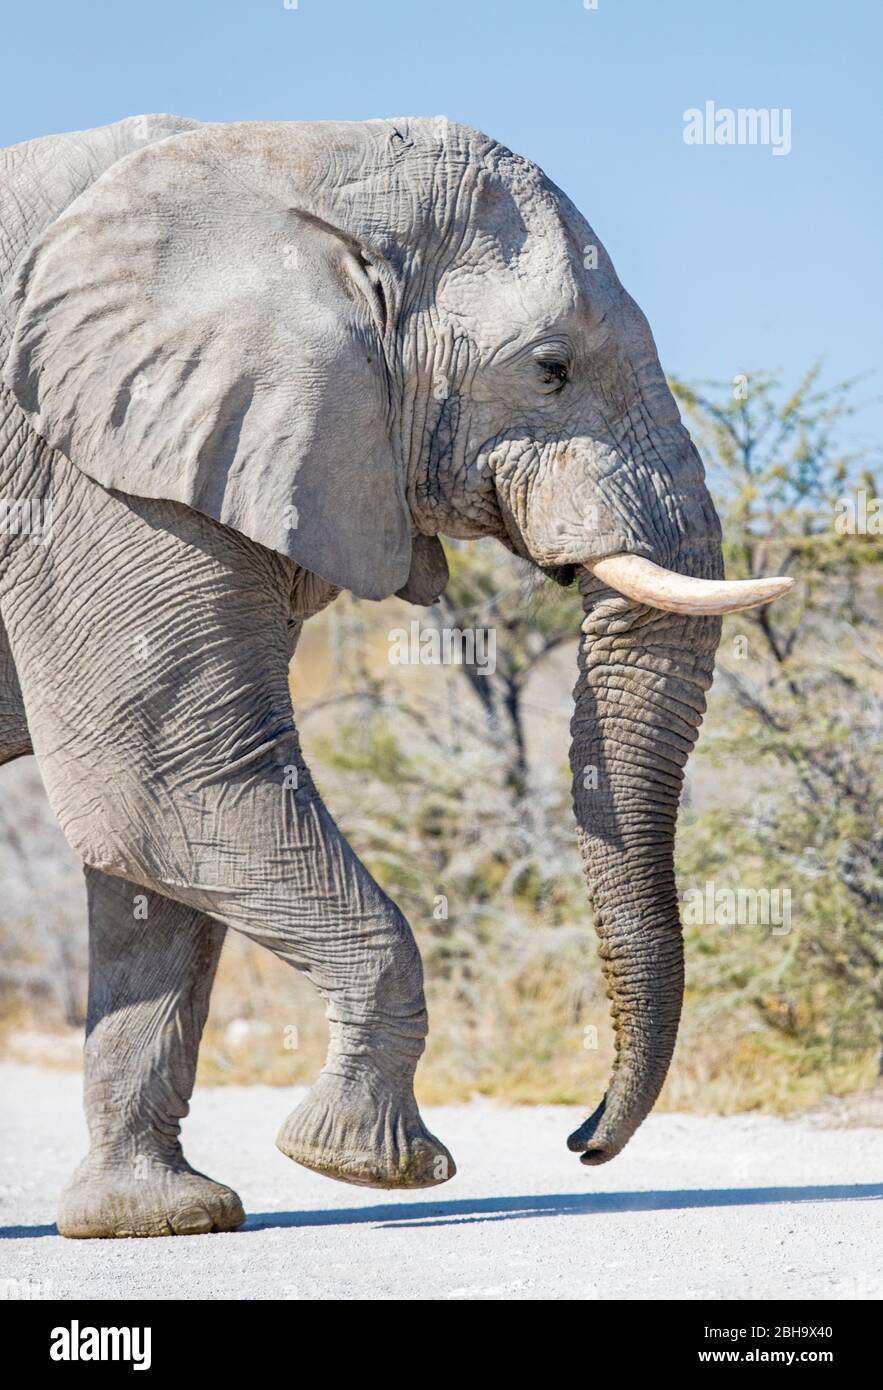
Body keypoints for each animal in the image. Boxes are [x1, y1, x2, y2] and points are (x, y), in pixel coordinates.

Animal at [0, 111, 789, 1239]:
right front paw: (368, 1164)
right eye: (551, 368)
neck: (295, 159)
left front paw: (157, 1218)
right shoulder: (89, 477)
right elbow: (163, 788)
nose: (581, 1141)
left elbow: (150, 852)